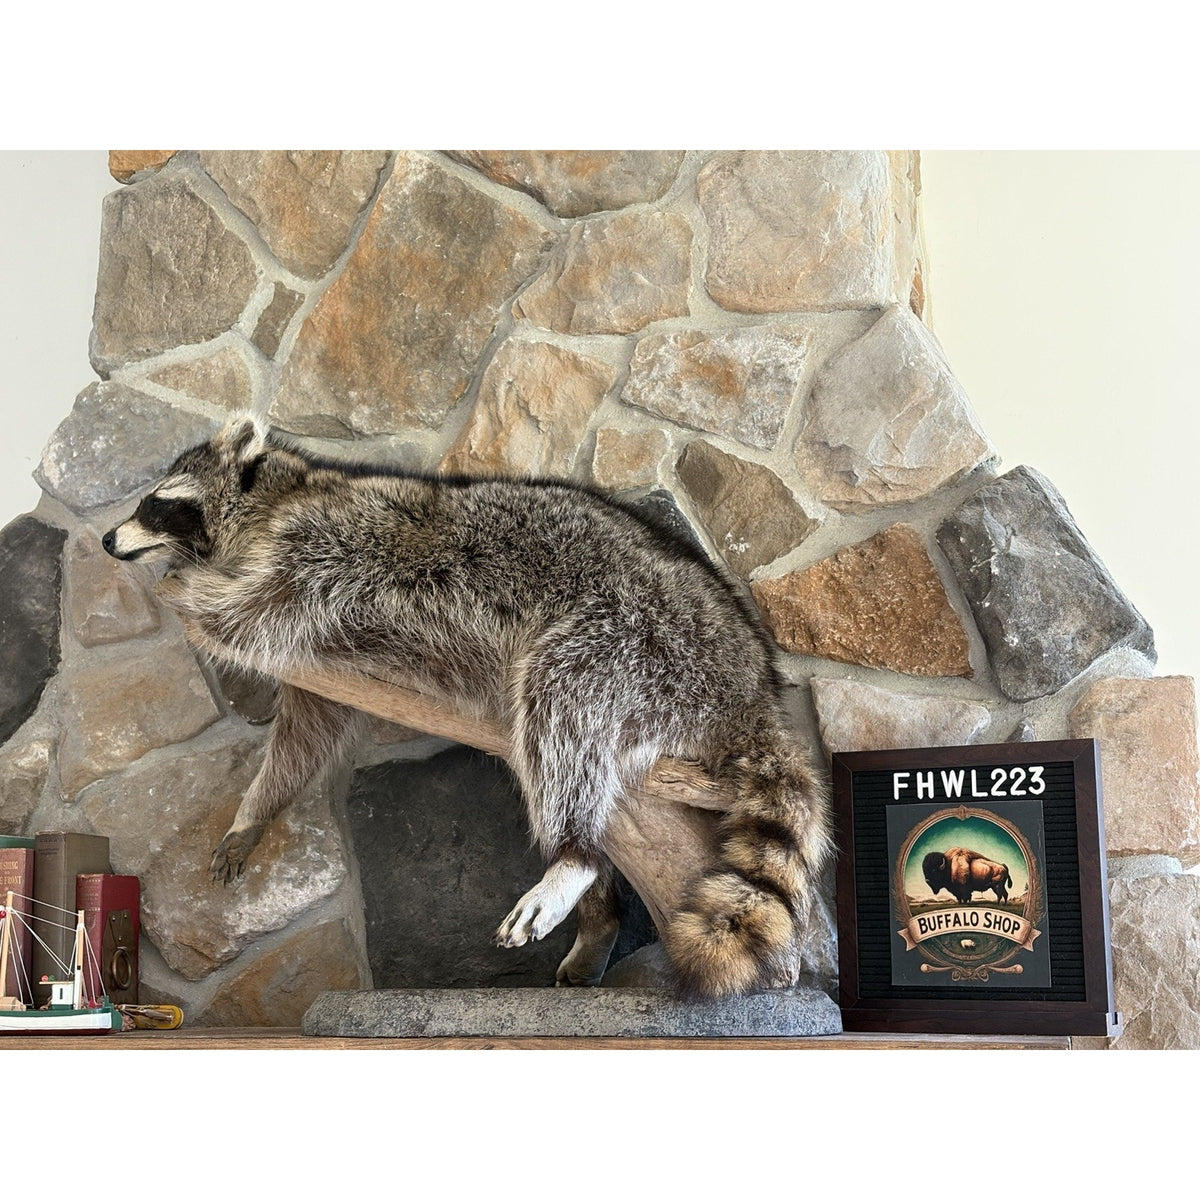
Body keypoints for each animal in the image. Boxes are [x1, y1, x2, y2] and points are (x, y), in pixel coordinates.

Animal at [103, 414, 831, 996]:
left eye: (153, 504)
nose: (108, 542)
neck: (279, 497)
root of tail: (750, 686)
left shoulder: (320, 547)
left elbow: (246, 615)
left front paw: (195, 589)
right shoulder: (317, 657)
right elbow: (306, 732)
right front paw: (256, 810)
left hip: (640, 638)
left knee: (560, 700)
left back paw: (575, 859)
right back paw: (599, 913)